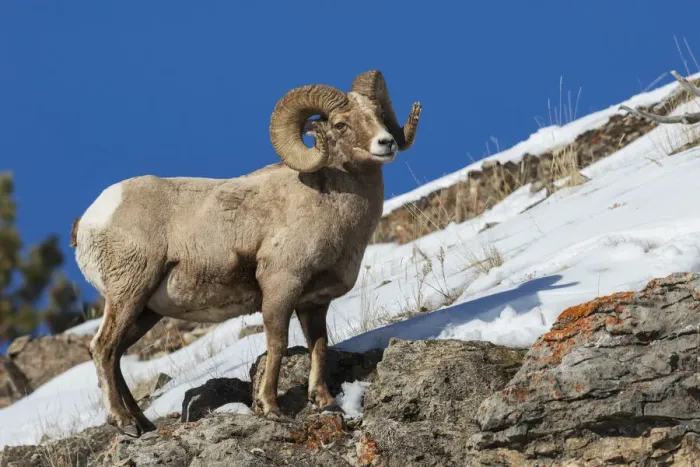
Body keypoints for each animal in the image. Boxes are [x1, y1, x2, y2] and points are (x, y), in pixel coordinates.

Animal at [71, 70, 421, 436]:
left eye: (378, 114)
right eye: (340, 124)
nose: (386, 143)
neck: (329, 204)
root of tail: (88, 221)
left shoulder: (314, 302)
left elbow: (319, 346)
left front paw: (325, 403)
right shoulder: (280, 288)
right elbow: (277, 344)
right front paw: (271, 408)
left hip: (144, 311)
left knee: (117, 356)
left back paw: (144, 424)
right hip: (128, 293)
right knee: (103, 348)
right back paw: (124, 423)